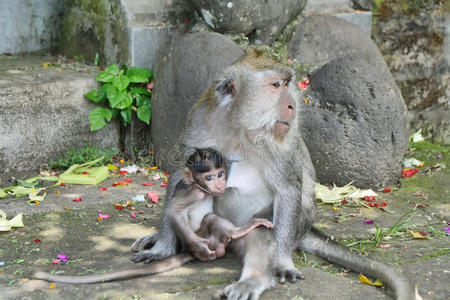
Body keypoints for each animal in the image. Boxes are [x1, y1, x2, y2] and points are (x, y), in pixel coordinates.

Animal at [32, 148, 270, 284]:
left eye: (220, 174)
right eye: (209, 177)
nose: (220, 184)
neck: (203, 188)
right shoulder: (195, 192)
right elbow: (174, 210)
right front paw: (198, 248)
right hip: (207, 236)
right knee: (210, 219)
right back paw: (237, 232)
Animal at [131, 52, 422, 298]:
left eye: (286, 83)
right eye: (275, 85)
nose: (292, 105)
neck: (239, 127)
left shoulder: (283, 141)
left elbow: (288, 190)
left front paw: (282, 262)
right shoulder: (199, 119)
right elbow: (179, 176)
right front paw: (163, 247)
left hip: (266, 227)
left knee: (262, 232)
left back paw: (253, 280)